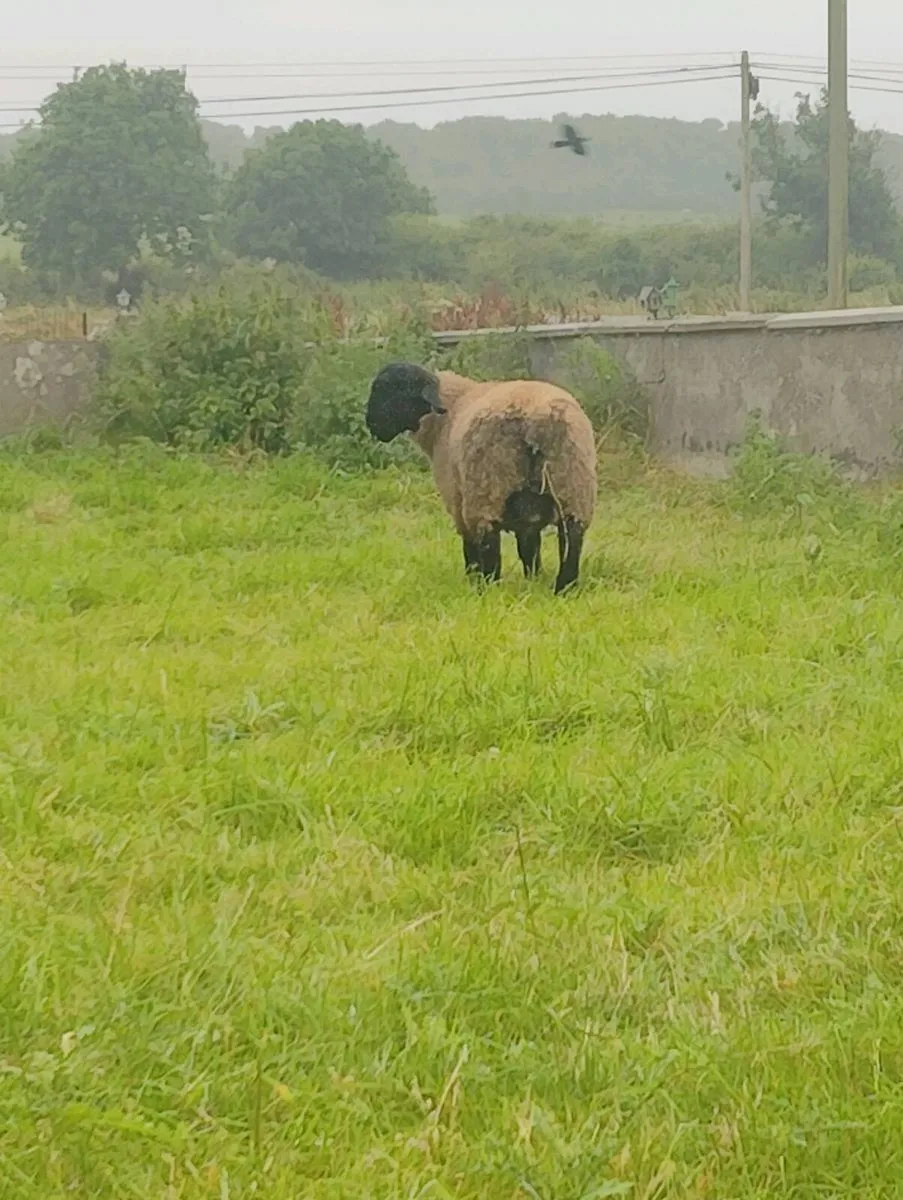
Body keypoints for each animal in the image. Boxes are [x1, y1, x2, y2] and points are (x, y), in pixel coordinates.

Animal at [365, 361, 597, 593]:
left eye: (390, 390)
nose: (372, 425)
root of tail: (535, 423)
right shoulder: (527, 520)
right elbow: (530, 550)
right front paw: (533, 580)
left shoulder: (457, 501)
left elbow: (471, 551)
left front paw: (473, 579)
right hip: (573, 485)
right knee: (572, 537)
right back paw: (565, 587)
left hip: (485, 489)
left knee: (488, 543)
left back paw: (488, 586)